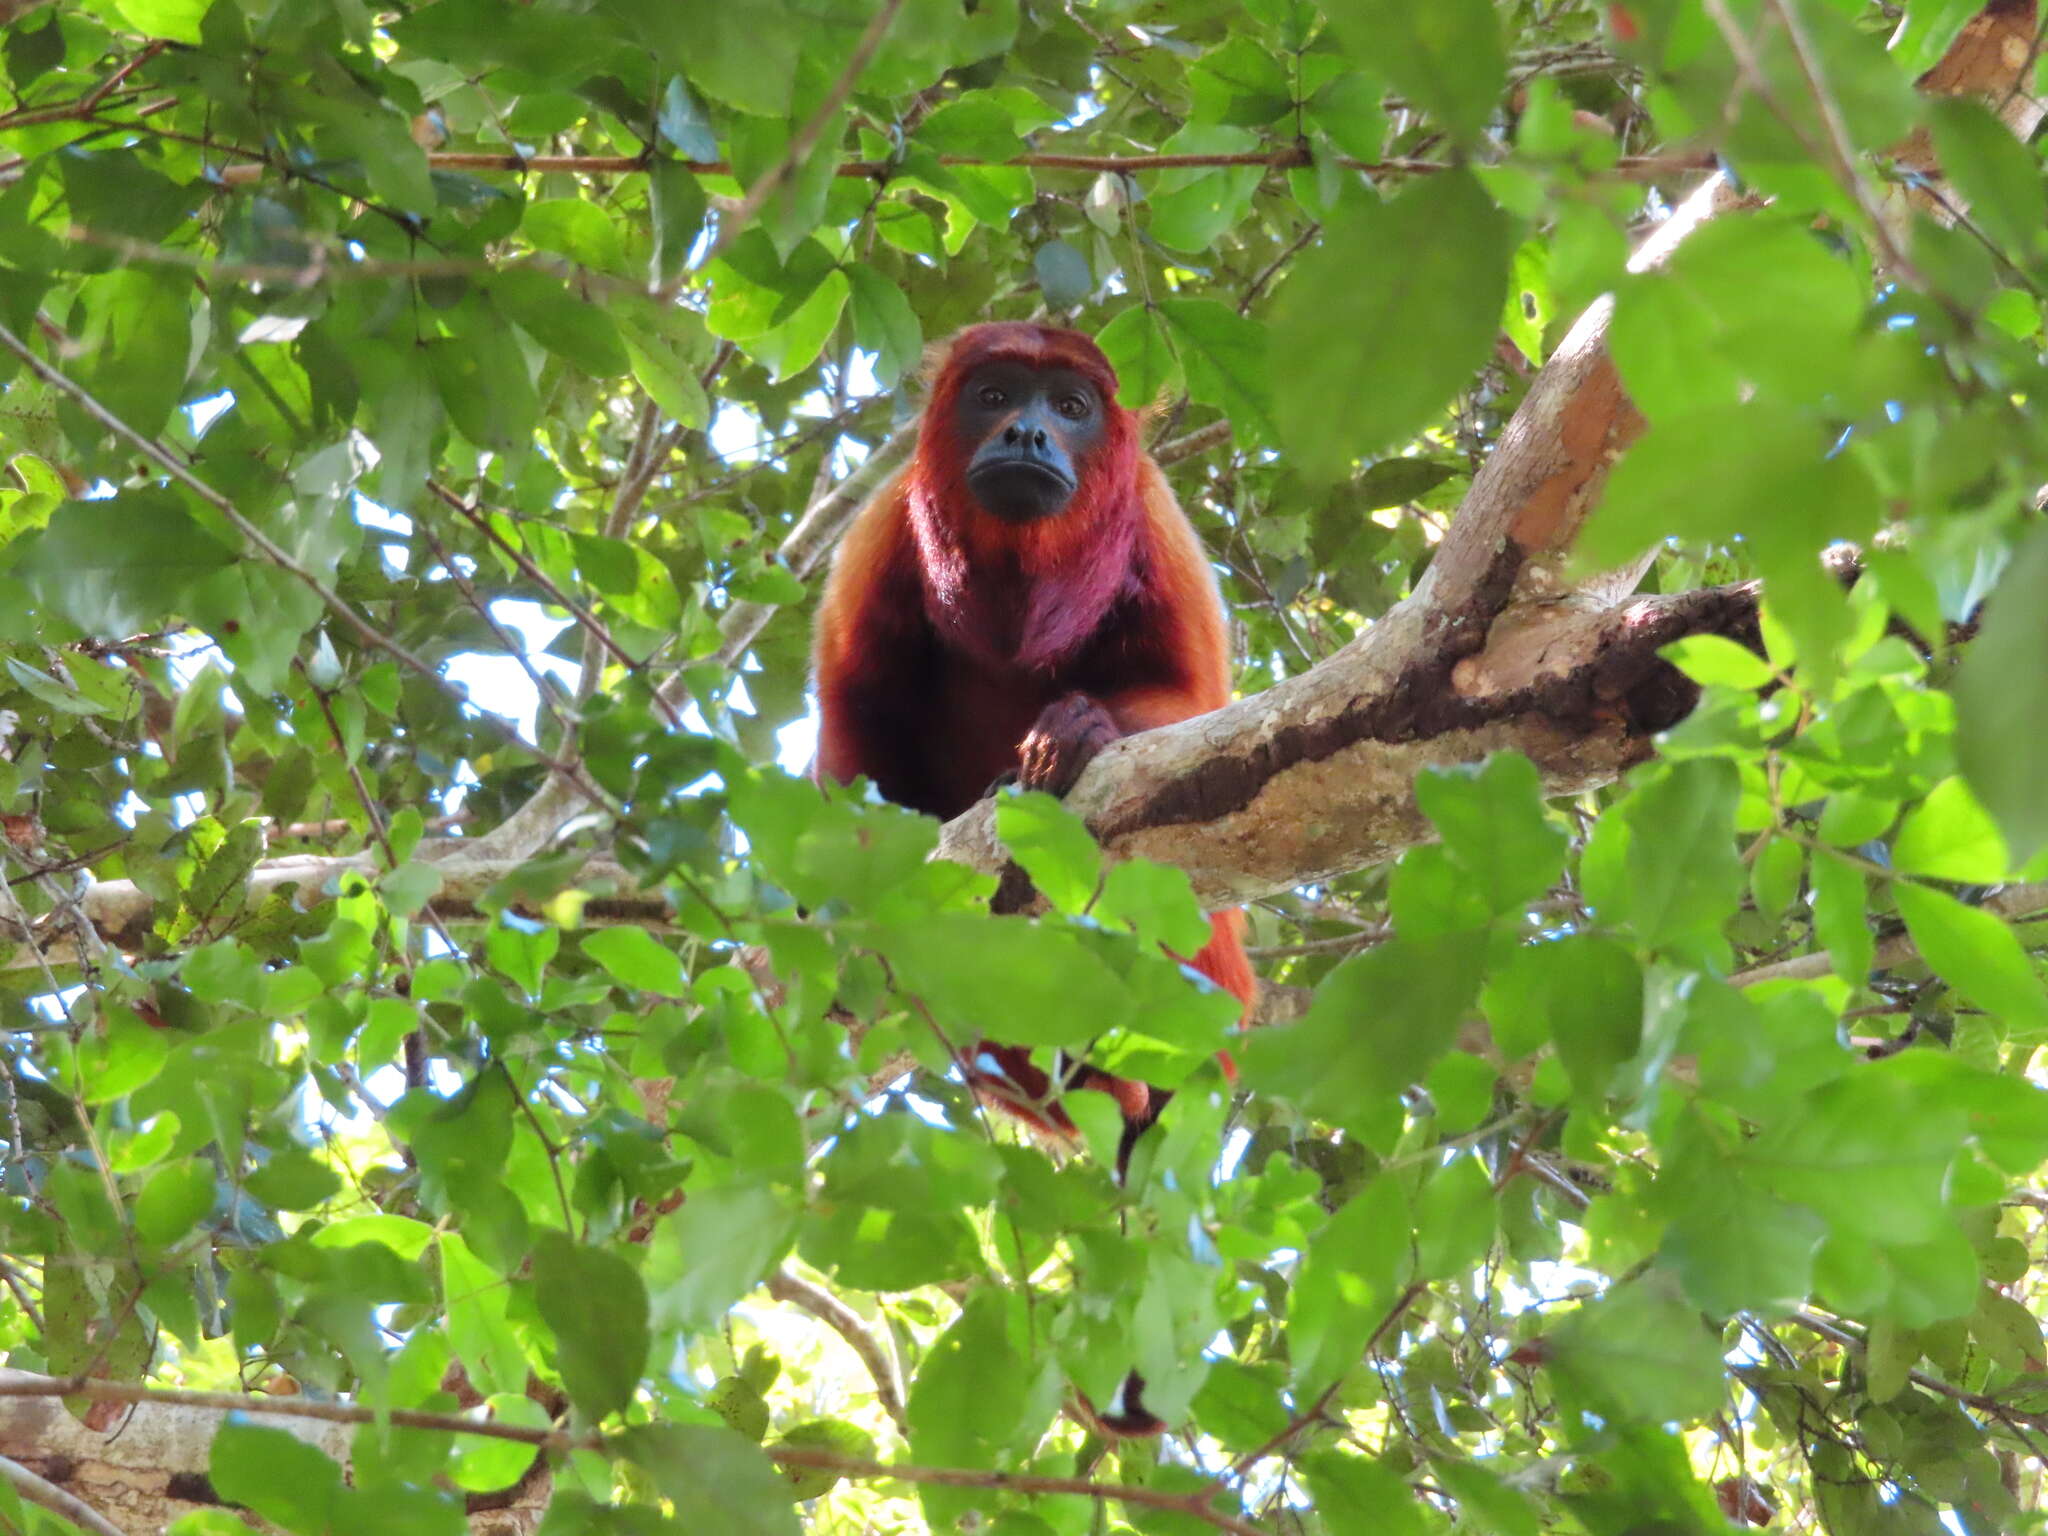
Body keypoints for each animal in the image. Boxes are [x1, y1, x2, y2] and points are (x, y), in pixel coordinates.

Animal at [806, 321, 1253, 1155]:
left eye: (1071, 407)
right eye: (994, 396)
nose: (1026, 431)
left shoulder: (1155, 516)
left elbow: (1193, 699)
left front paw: (1074, 731)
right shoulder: (882, 526)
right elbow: (855, 724)